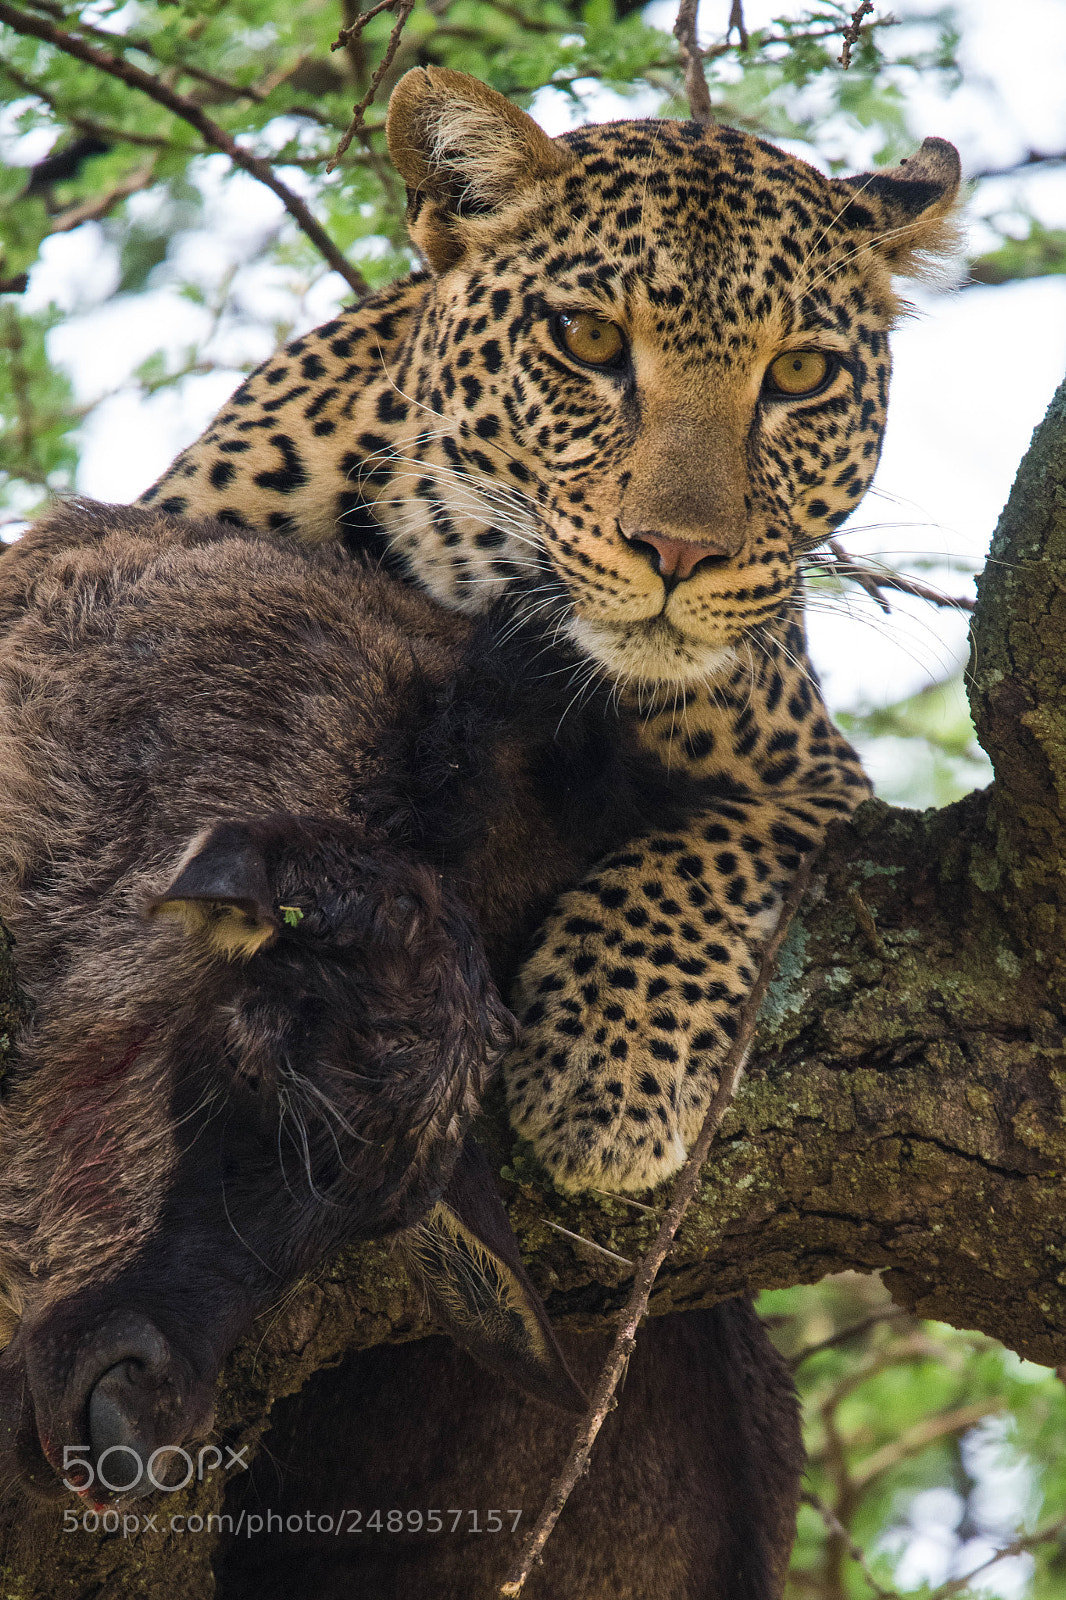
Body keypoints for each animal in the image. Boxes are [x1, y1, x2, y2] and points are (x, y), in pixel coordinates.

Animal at [140, 66, 962, 1195]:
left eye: (800, 375)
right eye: (589, 341)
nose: (678, 552)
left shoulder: (820, 780)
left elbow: (714, 843)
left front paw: (609, 1066)